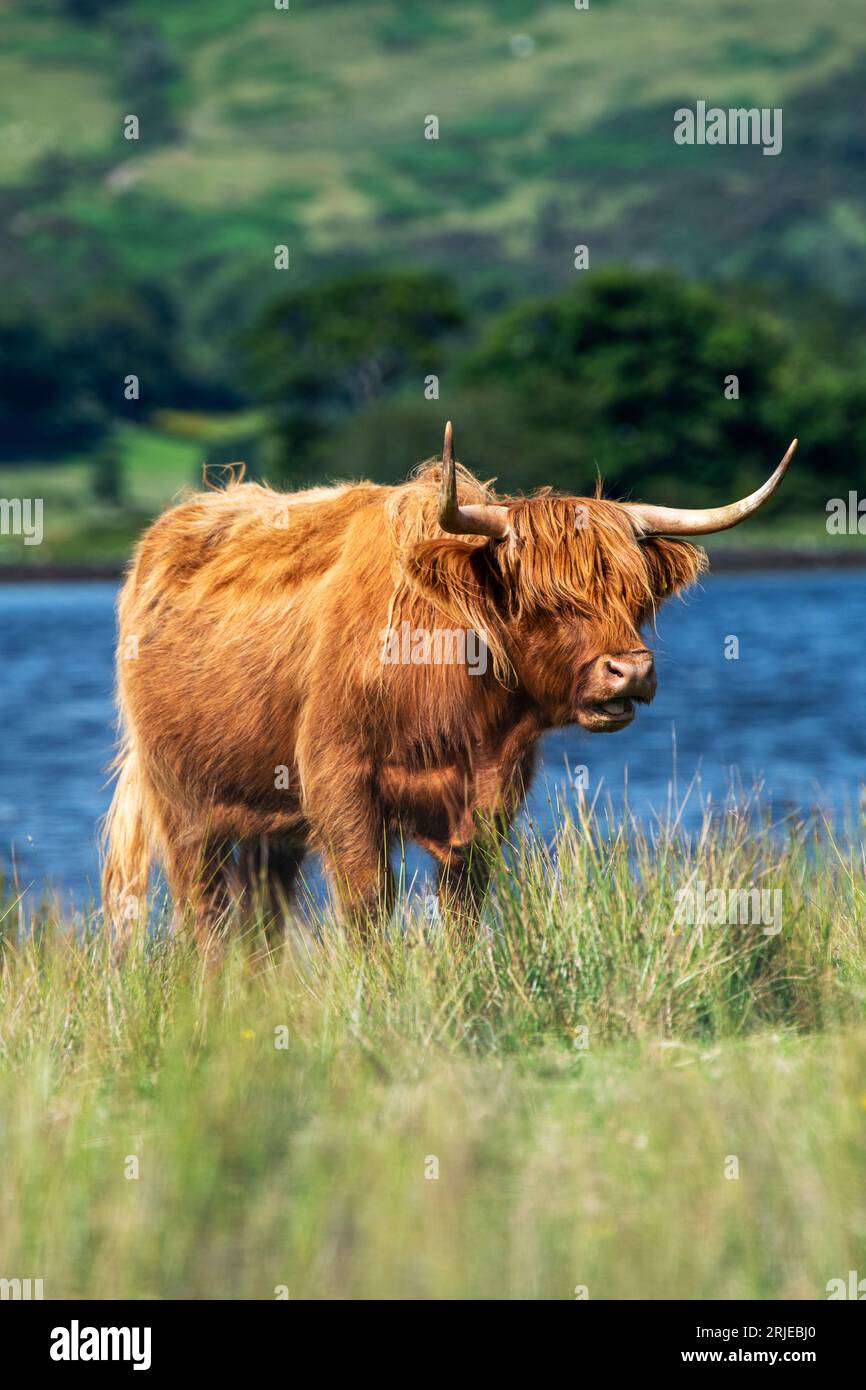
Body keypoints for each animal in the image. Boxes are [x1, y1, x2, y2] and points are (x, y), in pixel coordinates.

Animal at [102, 424, 796, 940]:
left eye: (635, 595)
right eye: (545, 599)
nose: (632, 671)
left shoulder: (490, 793)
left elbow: (462, 903)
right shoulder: (338, 779)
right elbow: (368, 902)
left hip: (265, 817)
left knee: (260, 916)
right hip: (183, 799)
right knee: (204, 910)